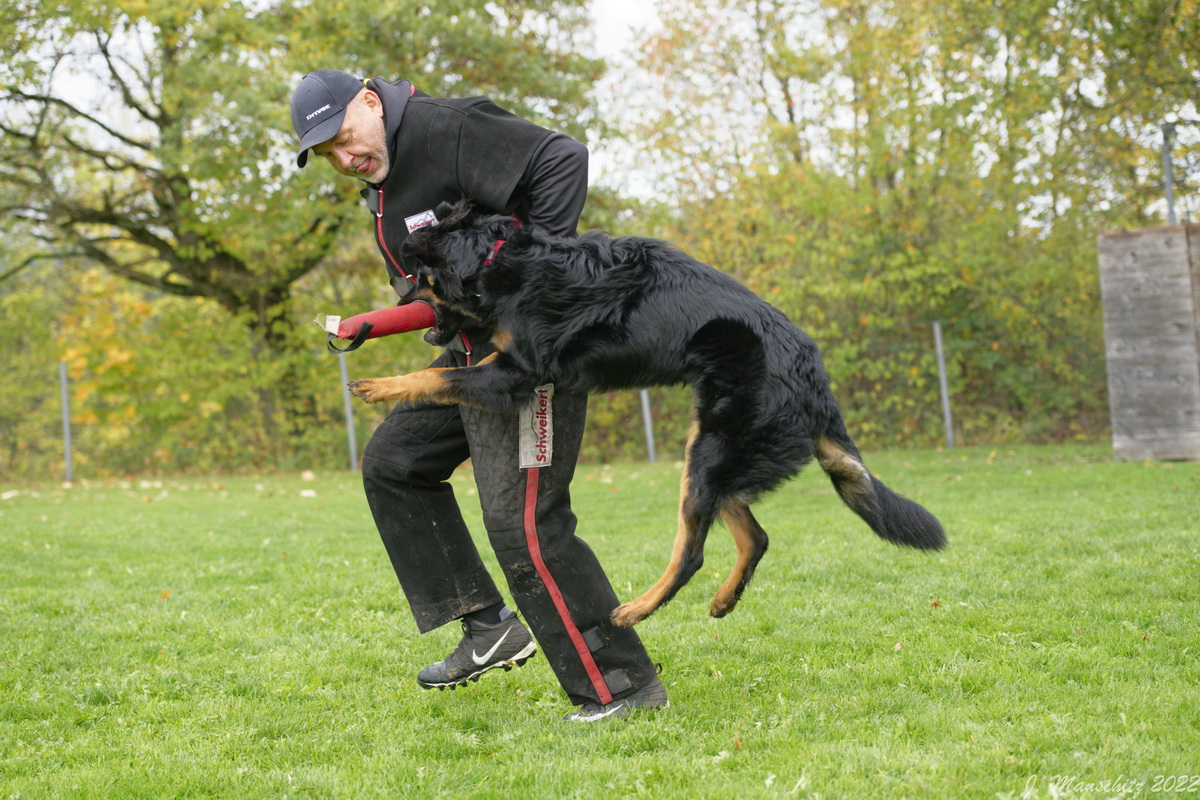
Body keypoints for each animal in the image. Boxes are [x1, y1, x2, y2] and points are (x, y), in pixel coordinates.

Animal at [350, 200, 945, 623]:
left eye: (418, 277)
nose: (395, 299)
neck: (501, 259)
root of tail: (815, 379)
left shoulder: (516, 371)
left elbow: (438, 377)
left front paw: (381, 385)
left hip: (710, 452)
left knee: (692, 554)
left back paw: (636, 609)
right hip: (711, 453)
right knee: (754, 536)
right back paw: (723, 599)